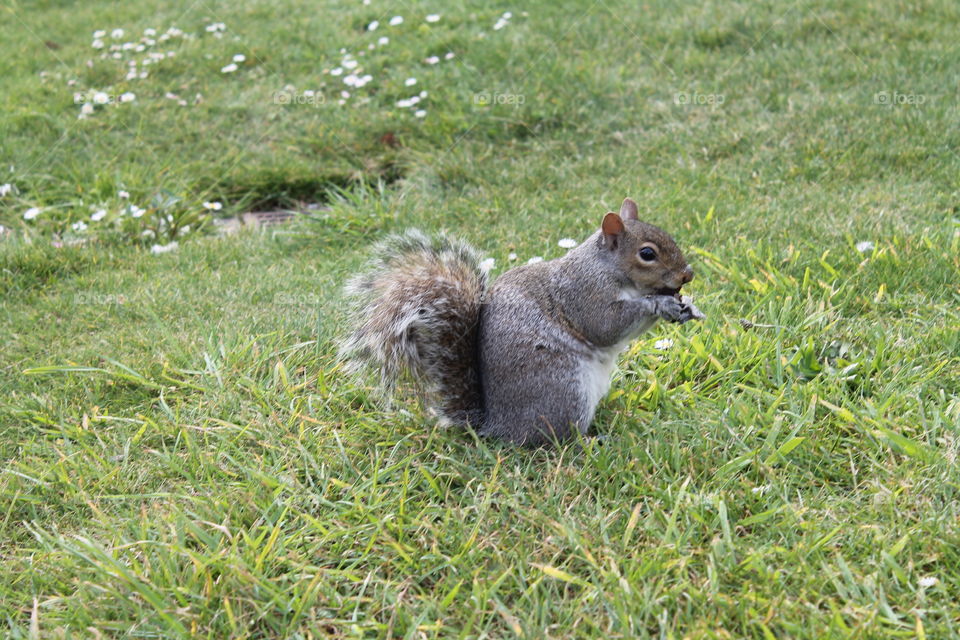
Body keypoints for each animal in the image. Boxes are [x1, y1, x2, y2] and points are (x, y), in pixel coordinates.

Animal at [341, 198, 704, 446]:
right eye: (647, 254)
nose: (687, 274)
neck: (605, 266)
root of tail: (497, 426)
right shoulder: (584, 294)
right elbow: (606, 326)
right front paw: (660, 304)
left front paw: (688, 306)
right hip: (563, 388)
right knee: (558, 438)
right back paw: (590, 441)